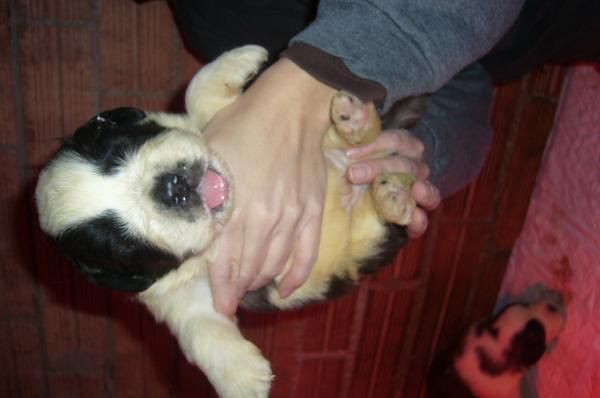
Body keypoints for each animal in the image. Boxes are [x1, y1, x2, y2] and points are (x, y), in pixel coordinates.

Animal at [36, 46, 422, 398]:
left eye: (119, 150)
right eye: (124, 244)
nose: (172, 188)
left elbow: (195, 94)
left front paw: (241, 59)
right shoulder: (176, 296)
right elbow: (199, 329)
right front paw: (244, 377)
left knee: (363, 141)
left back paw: (353, 122)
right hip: (365, 239)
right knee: (384, 220)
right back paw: (391, 197)